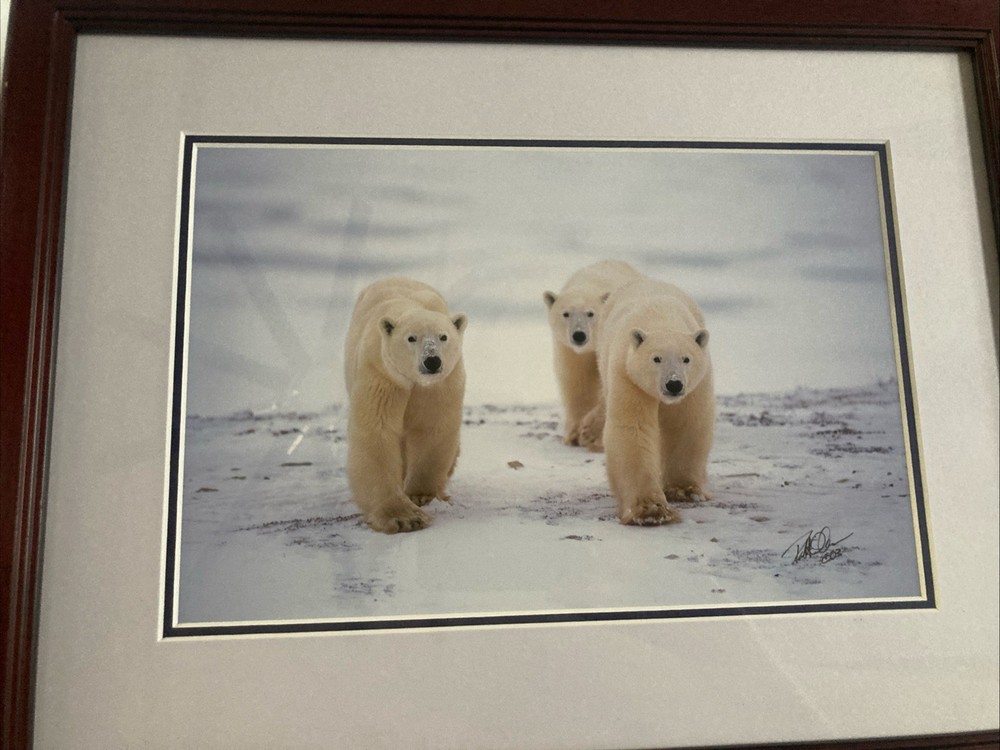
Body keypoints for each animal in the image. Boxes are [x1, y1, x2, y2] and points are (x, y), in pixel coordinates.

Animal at [343, 278, 467, 533]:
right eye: (411, 338)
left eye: (443, 337)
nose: (432, 361)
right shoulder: (382, 375)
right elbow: (377, 432)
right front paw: (404, 517)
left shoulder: (438, 385)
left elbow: (432, 426)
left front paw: (420, 495)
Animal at [543, 260, 641, 449]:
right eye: (566, 313)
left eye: (590, 313)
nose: (579, 335)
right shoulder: (569, 350)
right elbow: (576, 381)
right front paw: (574, 434)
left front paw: (590, 433)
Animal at [596, 275, 714, 525]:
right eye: (656, 358)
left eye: (686, 358)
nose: (674, 384)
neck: (660, 319)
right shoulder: (628, 376)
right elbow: (633, 429)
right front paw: (651, 510)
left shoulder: (697, 383)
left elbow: (686, 423)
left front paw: (684, 490)